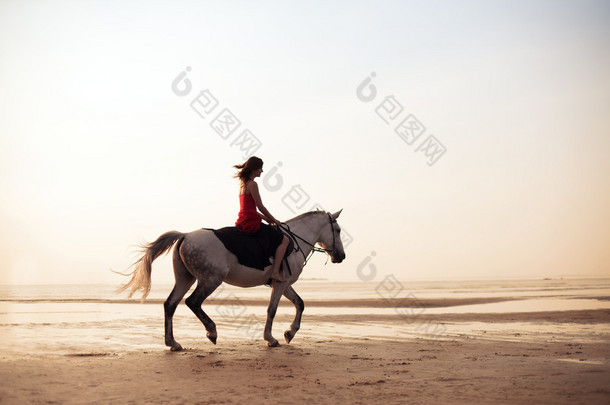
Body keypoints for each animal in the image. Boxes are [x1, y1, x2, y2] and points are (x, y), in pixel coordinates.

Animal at [117, 210, 344, 348]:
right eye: (339, 230)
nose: (341, 256)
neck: (294, 240)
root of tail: (185, 235)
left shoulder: (285, 285)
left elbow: (300, 303)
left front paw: (291, 332)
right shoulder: (280, 284)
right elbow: (272, 310)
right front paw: (271, 338)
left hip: (185, 279)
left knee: (170, 304)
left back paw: (173, 343)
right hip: (211, 280)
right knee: (193, 302)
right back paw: (211, 332)